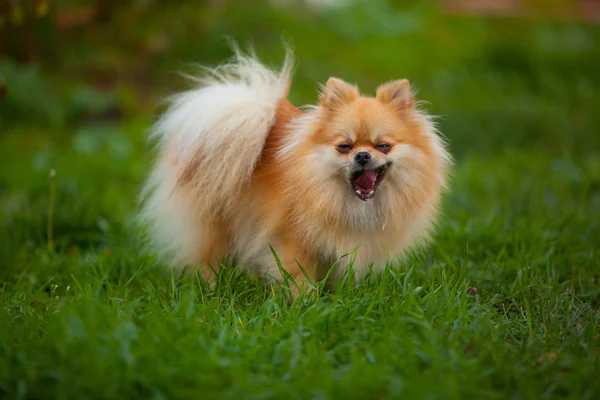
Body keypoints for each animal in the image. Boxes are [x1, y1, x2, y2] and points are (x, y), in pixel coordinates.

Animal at [139, 47, 450, 290]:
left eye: (383, 146)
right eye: (344, 146)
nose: (362, 155)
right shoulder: (291, 241)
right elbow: (300, 279)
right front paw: (307, 305)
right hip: (216, 222)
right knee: (206, 258)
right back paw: (210, 289)